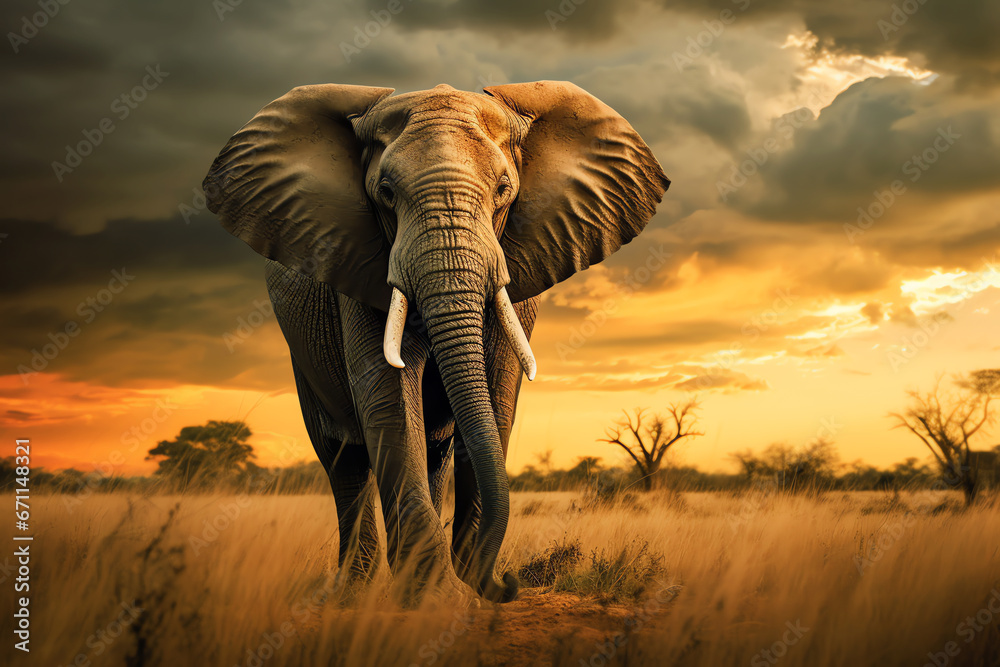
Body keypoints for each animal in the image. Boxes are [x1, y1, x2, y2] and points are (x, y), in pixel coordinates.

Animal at [203, 81, 669, 604]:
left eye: (504, 189)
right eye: (385, 193)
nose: (507, 583)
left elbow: (498, 397)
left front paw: (457, 589)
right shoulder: (357, 263)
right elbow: (389, 398)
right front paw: (437, 600)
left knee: (434, 451)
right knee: (342, 458)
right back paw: (351, 594)